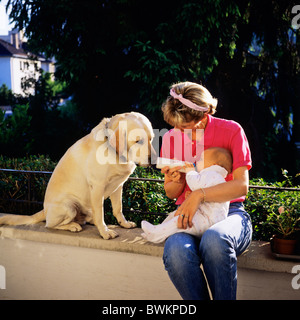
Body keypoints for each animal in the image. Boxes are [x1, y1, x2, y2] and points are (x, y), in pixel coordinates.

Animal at [0, 111, 155, 239]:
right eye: (138, 141)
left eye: (151, 139)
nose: (153, 160)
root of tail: (45, 210)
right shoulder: (97, 187)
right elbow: (101, 214)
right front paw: (105, 232)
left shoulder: (118, 186)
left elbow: (118, 209)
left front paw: (124, 223)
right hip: (69, 206)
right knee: (51, 225)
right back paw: (73, 226)